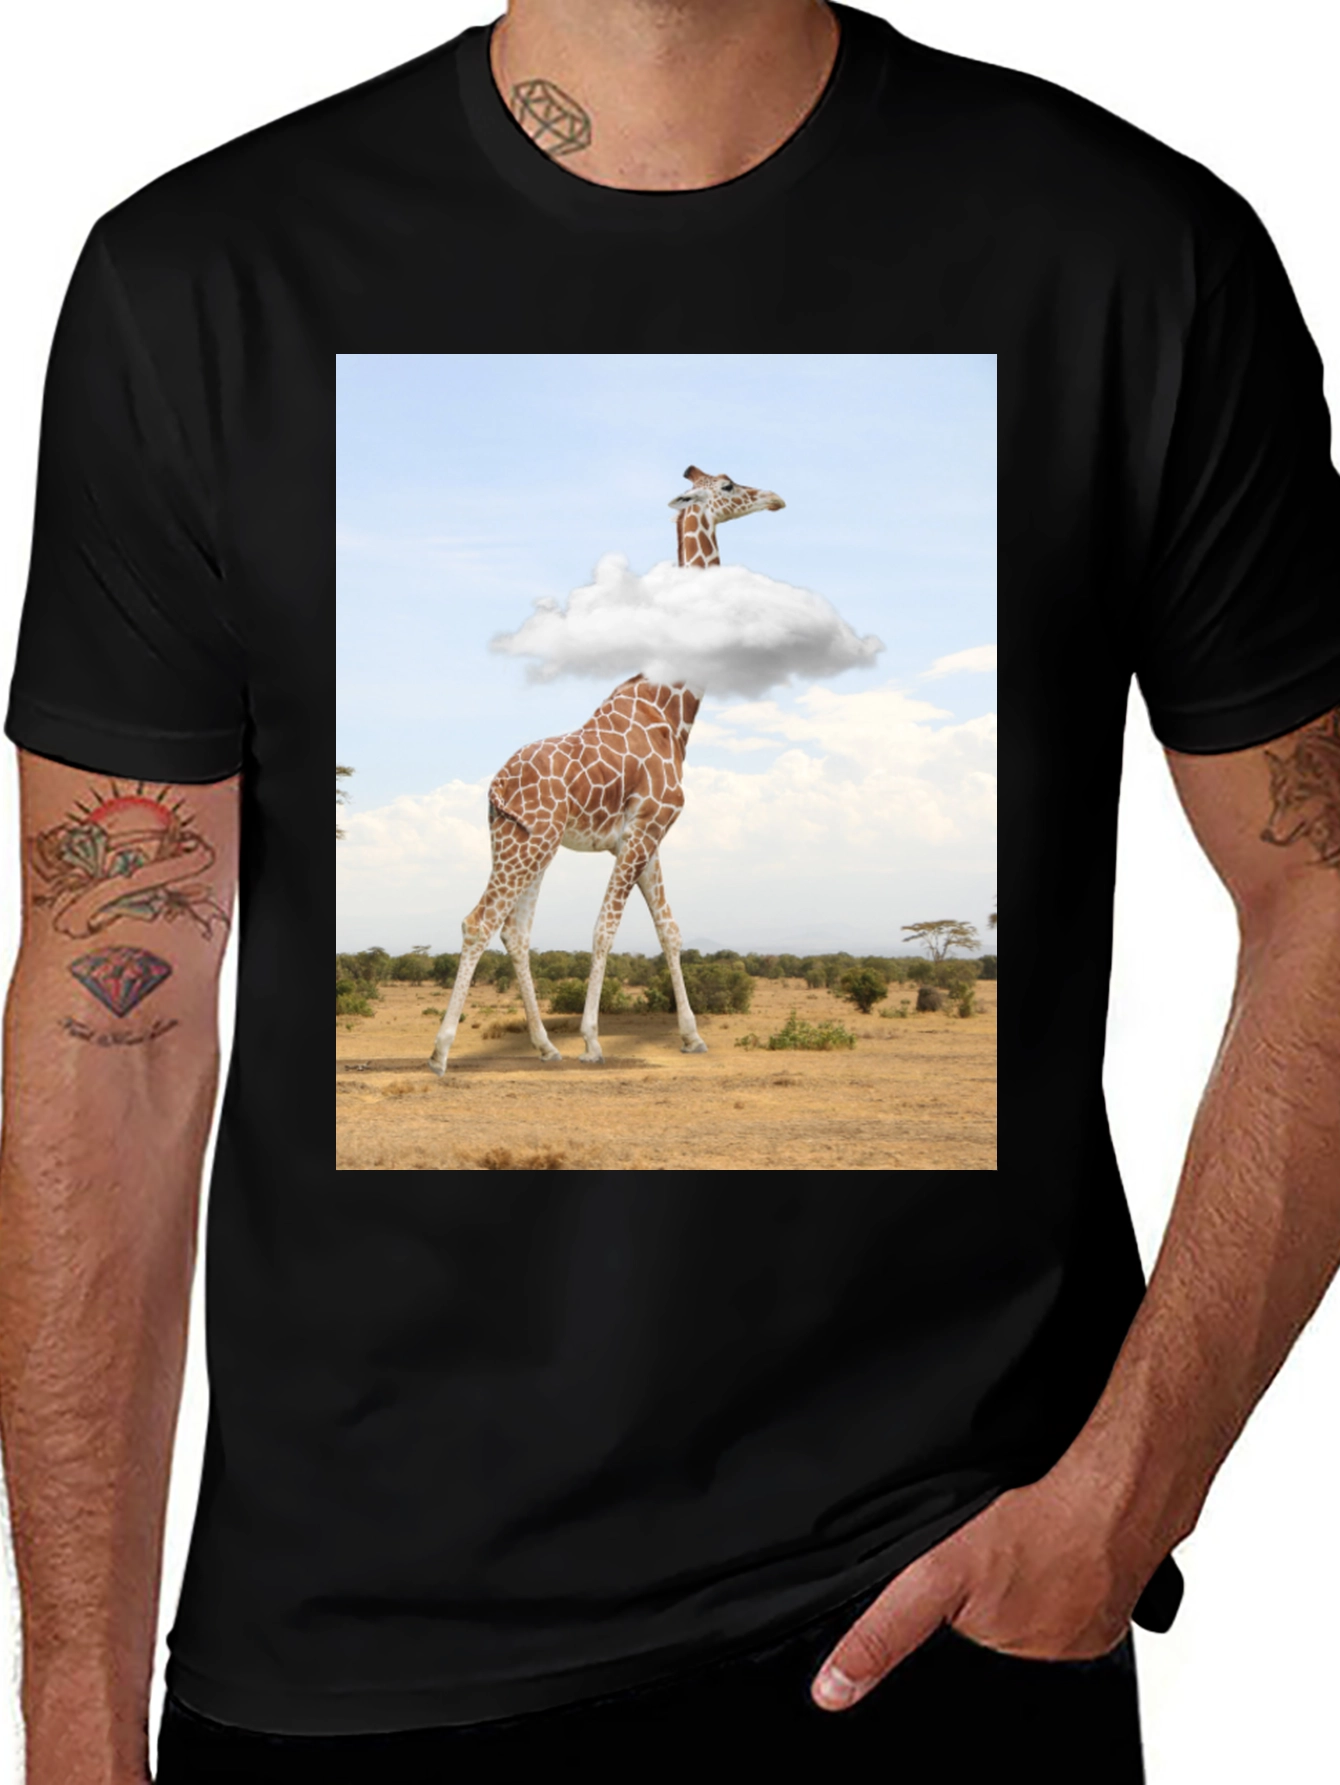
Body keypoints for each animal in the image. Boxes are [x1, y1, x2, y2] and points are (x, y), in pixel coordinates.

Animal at [428, 465, 786, 1072]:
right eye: (729, 485)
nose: (776, 498)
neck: (672, 709)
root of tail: (494, 788)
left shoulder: (646, 836)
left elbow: (670, 930)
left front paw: (691, 1036)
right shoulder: (644, 830)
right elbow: (605, 930)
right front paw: (594, 1041)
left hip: (522, 841)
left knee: (514, 931)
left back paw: (546, 1046)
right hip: (531, 843)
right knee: (480, 921)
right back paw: (441, 1052)